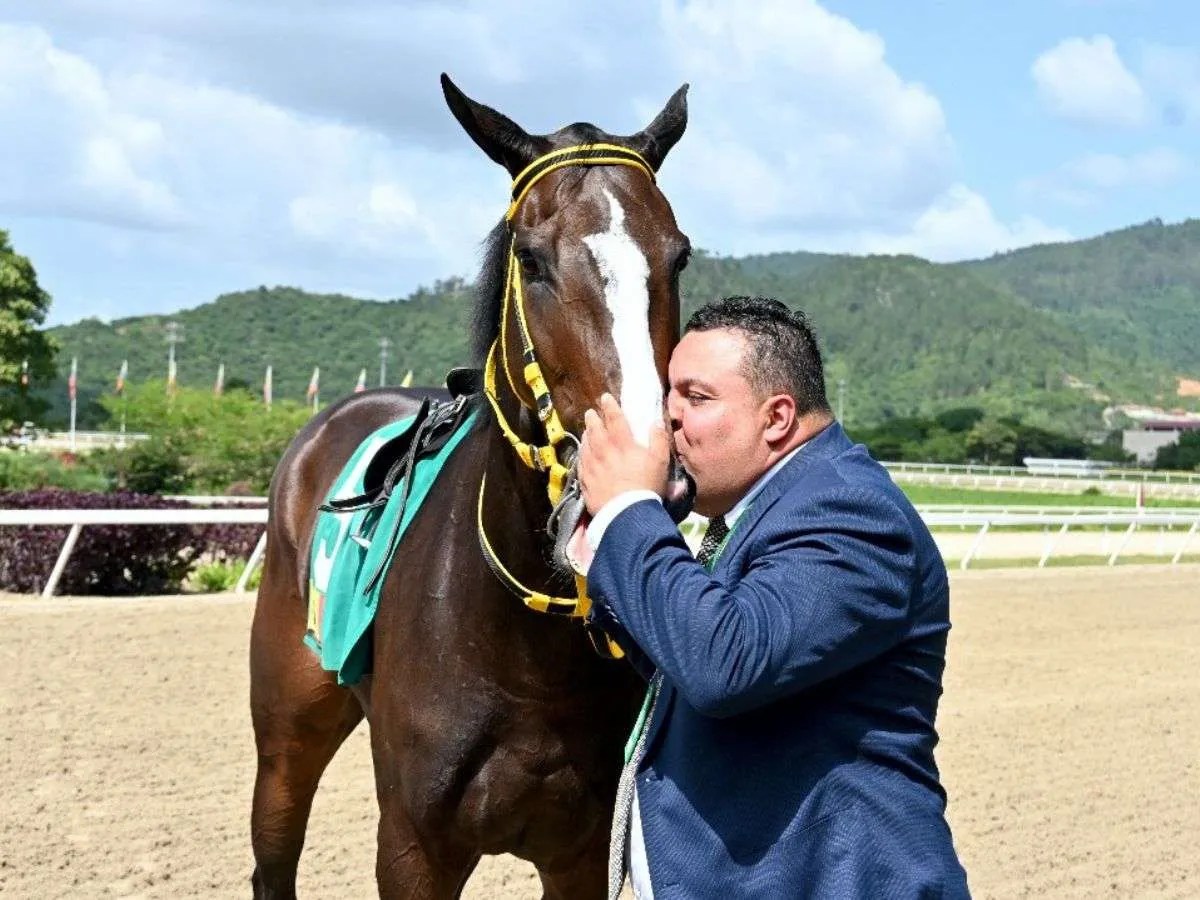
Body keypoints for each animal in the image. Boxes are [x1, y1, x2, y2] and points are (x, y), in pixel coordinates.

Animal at [248, 74, 691, 897]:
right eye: (533, 259)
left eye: (677, 257)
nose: (649, 471)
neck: (525, 653)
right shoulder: (413, 847)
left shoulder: (581, 853)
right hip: (288, 730)